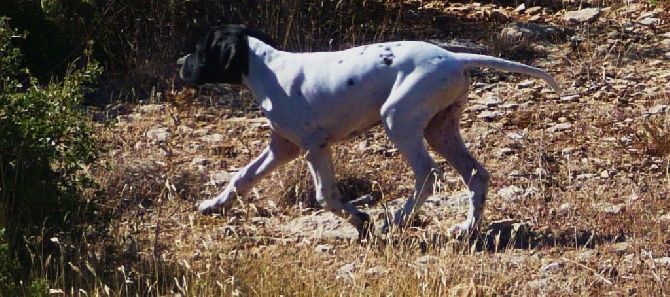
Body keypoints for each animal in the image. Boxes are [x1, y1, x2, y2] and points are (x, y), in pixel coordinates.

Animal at [178, 24, 560, 238]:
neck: (268, 69)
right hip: (440, 130)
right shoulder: (282, 148)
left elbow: (326, 196)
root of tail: (455, 58)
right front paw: (213, 204)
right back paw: (468, 228)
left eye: (199, 50)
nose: (181, 65)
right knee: (476, 175)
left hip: (398, 120)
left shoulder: (315, 146)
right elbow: (241, 178)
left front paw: (361, 220)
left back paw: (398, 220)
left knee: (428, 175)